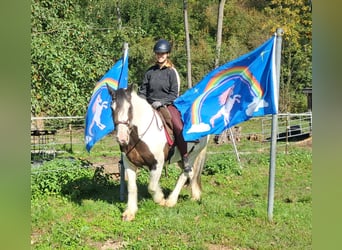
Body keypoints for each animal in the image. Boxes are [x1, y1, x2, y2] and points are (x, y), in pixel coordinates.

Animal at [107, 85, 208, 222]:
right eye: (112, 108)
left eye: (130, 108)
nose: (122, 138)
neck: (140, 135)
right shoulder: (129, 164)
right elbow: (132, 187)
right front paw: (130, 212)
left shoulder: (157, 164)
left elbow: (152, 187)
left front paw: (160, 199)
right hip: (181, 159)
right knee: (192, 173)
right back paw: (195, 196)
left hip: (191, 155)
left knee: (185, 174)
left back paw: (171, 201)